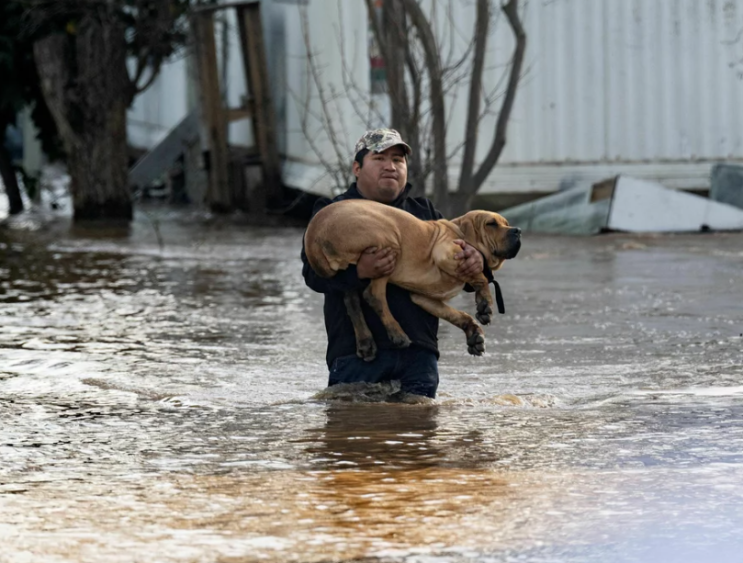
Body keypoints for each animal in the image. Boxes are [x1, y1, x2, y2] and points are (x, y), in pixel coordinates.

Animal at [306, 200, 520, 360]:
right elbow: (480, 277)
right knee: (373, 295)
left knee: (352, 302)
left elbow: (458, 314)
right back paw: (397, 334)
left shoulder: (424, 299)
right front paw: (485, 305)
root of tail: (313, 235)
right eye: (491, 224)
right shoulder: (446, 252)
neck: (458, 230)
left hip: (352, 274)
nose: (517, 230)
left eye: (506, 222)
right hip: (389, 244)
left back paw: (366, 343)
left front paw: (474, 334)